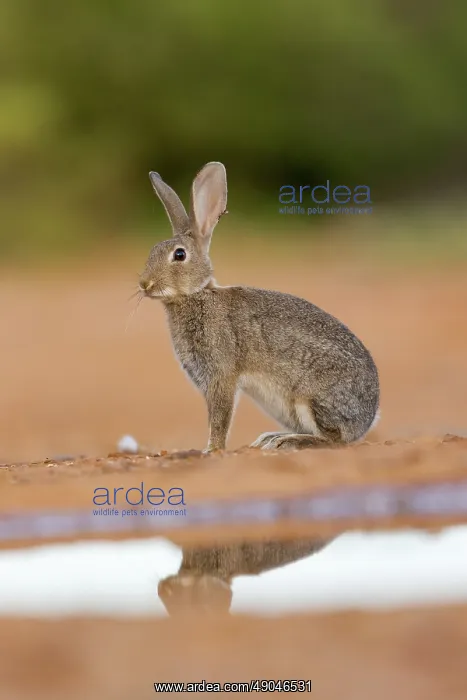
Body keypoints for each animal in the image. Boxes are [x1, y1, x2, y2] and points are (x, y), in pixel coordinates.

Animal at [139, 162, 380, 452]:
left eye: (179, 255)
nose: (144, 284)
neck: (196, 295)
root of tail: (367, 419)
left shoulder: (221, 375)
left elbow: (220, 416)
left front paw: (212, 450)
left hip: (311, 398)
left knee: (334, 440)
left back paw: (287, 441)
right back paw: (271, 438)